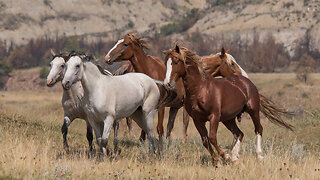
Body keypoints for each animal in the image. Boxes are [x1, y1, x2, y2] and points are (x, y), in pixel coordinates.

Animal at [164, 45, 294, 163]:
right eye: (166, 63)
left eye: (176, 62)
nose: (167, 84)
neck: (201, 89)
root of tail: (247, 81)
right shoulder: (197, 120)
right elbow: (205, 141)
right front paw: (218, 160)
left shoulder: (214, 116)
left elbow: (212, 138)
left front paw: (225, 156)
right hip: (228, 119)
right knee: (239, 133)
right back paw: (235, 156)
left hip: (253, 110)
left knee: (258, 129)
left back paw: (259, 156)